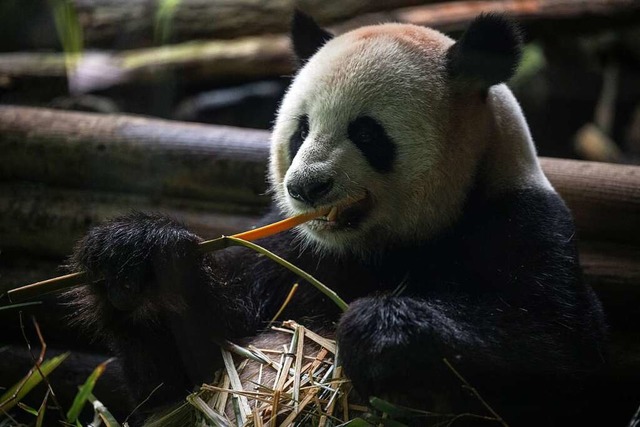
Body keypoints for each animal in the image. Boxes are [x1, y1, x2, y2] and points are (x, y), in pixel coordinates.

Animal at [66, 10, 604, 427]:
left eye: (366, 133)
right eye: (301, 129)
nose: (306, 187)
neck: (376, 245)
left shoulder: (520, 224)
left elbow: (556, 353)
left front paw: (382, 334)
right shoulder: (292, 254)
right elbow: (184, 371)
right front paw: (134, 262)